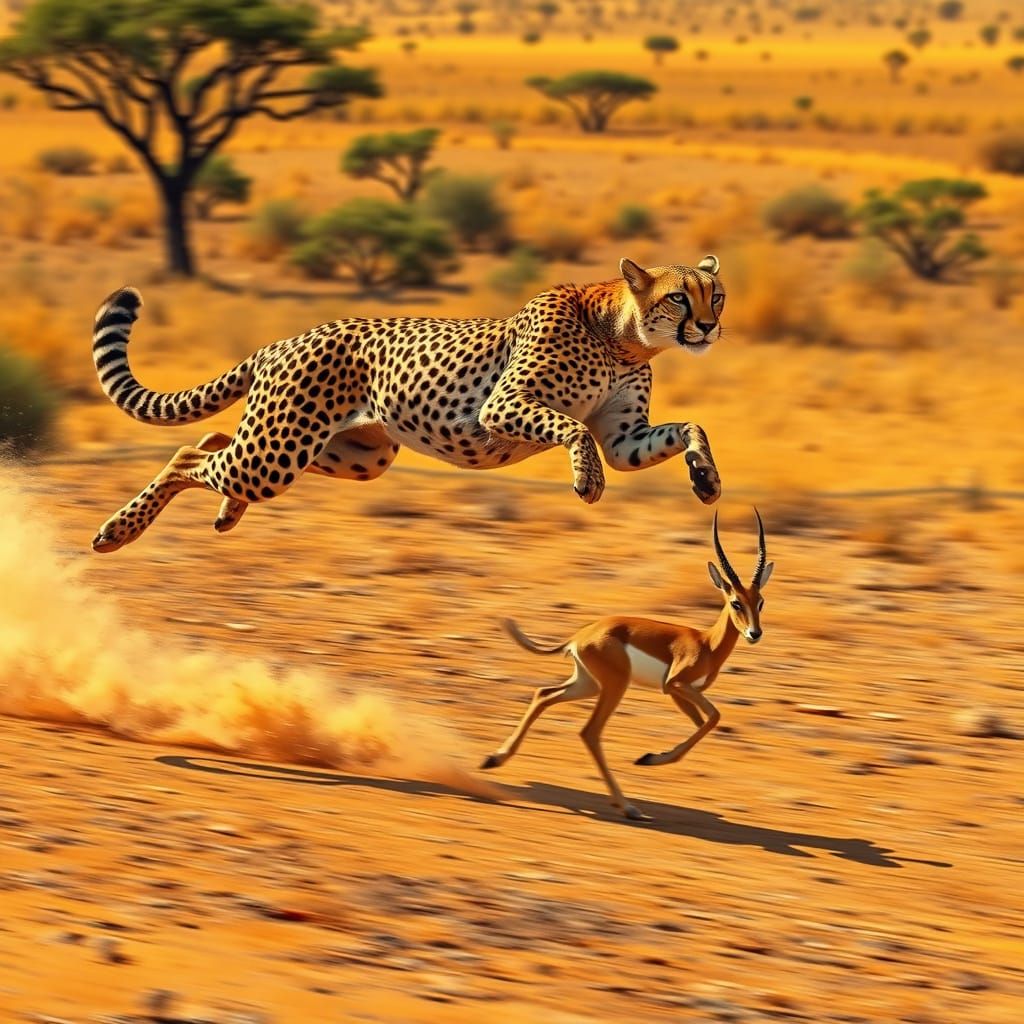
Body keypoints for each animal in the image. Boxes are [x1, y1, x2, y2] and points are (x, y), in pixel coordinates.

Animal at [90, 255, 725, 553]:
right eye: (678, 298)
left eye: (715, 294)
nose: (709, 327)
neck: (622, 336)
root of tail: (285, 339)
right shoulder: (503, 405)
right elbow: (571, 427)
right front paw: (586, 479)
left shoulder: (624, 436)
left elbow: (687, 427)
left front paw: (706, 478)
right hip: (279, 451)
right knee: (188, 456)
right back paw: (119, 531)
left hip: (352, 455)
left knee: (212, 442)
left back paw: (226, 512)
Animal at [481, 509, 773, 821]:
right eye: (736, 602)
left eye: (760, 602)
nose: (755, 633)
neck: (707, 644)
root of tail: (580, 636)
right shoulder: (675, 685)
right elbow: (715, 717)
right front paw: (647, 759)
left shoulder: (678, 693)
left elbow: (702, 723)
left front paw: (652, 757)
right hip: (614, 686)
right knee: (589, 731)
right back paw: (628, 807)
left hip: (587, 684)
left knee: (543, 695)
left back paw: (494, 759)